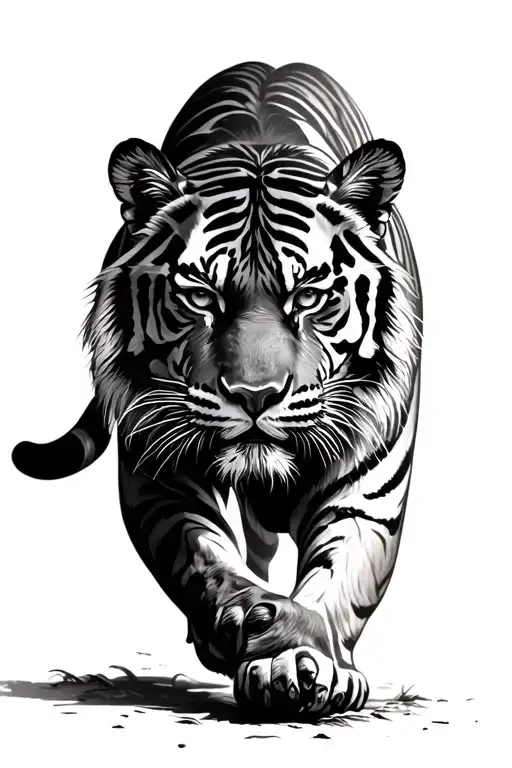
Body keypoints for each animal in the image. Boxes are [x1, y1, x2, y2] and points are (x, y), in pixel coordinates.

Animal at [12, 62, 422, 719]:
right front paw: (256, 622)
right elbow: (206, 560)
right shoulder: (159, 477)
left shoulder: (368, 491)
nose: (254, 396)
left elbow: (340, 577)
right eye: (202, 295)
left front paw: (305, 659)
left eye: (309, 295)